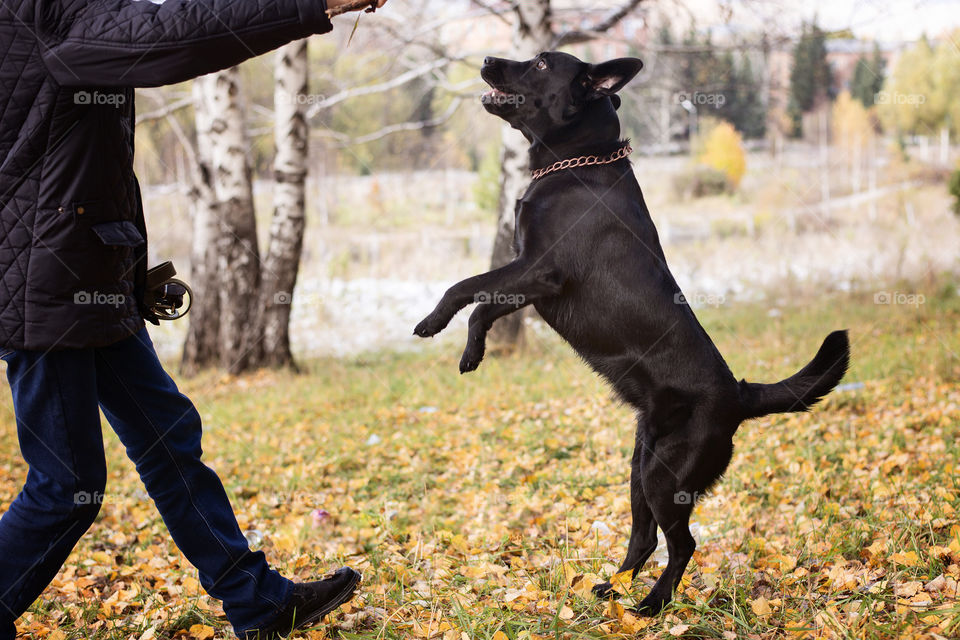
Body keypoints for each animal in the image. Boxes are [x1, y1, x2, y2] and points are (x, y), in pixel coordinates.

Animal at [412, 51, 848, 616]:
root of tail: (739, 395)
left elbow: (466, 289)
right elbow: (483, 302)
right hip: (641, 467)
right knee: (644, 538)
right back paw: (612, 591)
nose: (487, 59)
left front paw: (439, 327)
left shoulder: (539, 270)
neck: (578, 161)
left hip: (665, 476)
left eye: (541, 63)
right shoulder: (529, 276)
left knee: (682, 543)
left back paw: (652, 604)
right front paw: (471, 347)